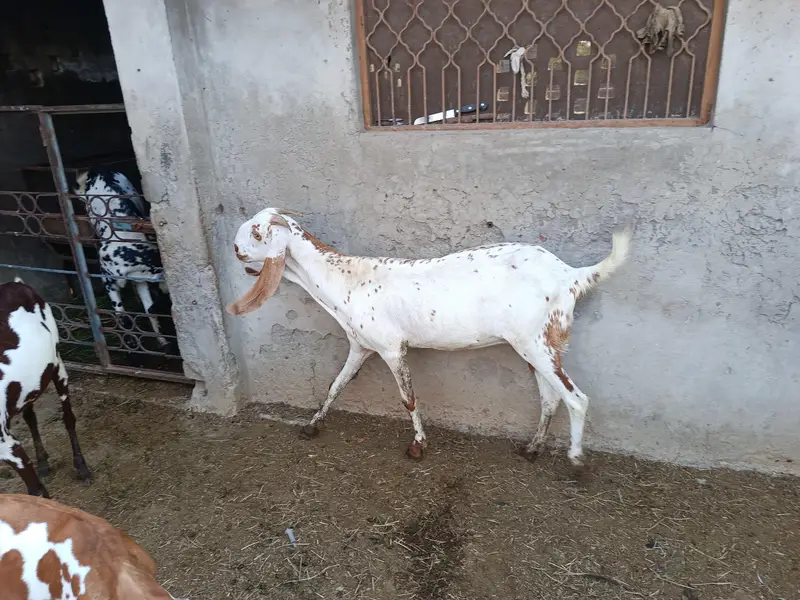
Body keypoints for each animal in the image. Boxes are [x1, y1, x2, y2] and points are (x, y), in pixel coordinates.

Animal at [0, 278, 91, 497]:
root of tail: (14, 284)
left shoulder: (6, 444)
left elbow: (35, 490)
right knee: (30, 416)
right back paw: (42, 462)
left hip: (57, 361)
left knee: (68, 417)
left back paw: (81, 467)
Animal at [75, 169, 170, 350]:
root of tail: (98, 170)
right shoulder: (108, 281)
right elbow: (122, 315)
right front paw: (130, 342)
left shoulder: (142, 280)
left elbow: (149, 310)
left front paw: (162, 340)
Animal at [227, 209, 632, 469]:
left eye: (257, 233)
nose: (234, 249)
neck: (344, 279)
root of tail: (571, 275)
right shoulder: (361, 345)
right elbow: (335, 385)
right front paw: (312, 425)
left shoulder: (391, 348)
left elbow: (408, 397)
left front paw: (418, 446)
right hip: (533, 345)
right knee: (550, 397)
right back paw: (532, 450)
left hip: (537, 341)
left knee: (576, 398)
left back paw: (576, 461)